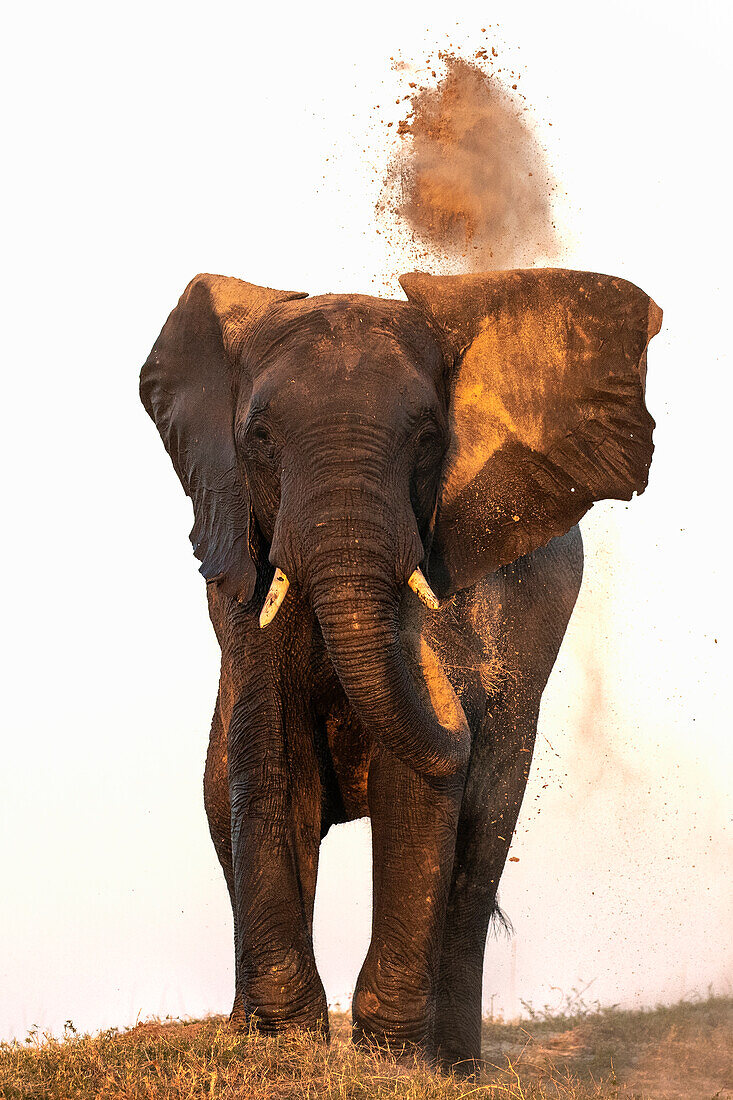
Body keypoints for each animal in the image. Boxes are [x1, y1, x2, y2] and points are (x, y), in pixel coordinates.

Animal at [139, 266, 660, 1064]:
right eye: (258, 438)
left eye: (428, 440)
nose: (461, 690)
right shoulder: (242, 566)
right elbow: (271, 749)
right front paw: (286, 1051)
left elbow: (414, 778)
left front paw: (387, 1058)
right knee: (220, 793)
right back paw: (245, 1034)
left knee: (483, 837)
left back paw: (454, 1066)